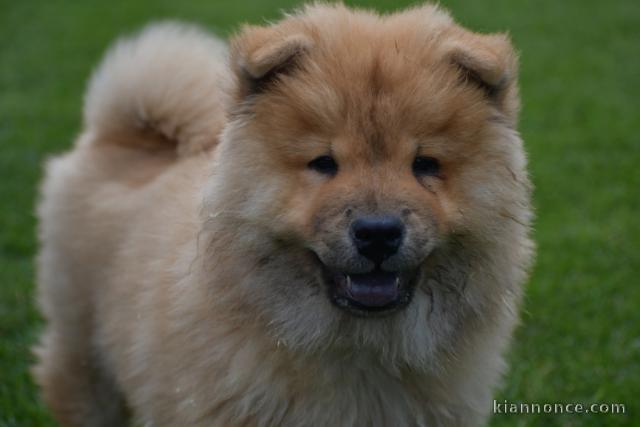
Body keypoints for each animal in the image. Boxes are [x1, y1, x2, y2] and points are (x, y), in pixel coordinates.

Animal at [35, 4, 536, 427]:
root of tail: (134, 137)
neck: (360, 352)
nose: (377, 233)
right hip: (83, 348)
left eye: (425, 165)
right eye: (323, 163)